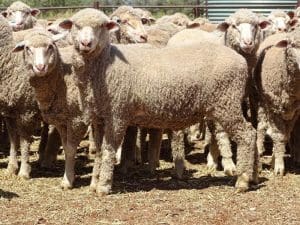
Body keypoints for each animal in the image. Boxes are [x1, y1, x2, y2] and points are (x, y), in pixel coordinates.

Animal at [59, 8, 256, 195]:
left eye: (101, 26)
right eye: (76, 25)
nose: (86, 43)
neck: (105, 64)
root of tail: (240, 60)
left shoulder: (117, 115)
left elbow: (108, 151)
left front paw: (103, 186)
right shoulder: (99, 118)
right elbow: (99, 152)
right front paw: (94, 184)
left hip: (227, 103)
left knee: (246, 135)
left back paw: (243, 180)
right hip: (225, 104)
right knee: (251, 132)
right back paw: (253, 175)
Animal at [253, 29, 300, 176]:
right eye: (293, 45)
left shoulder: (295, 110)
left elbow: (285, 135)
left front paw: (275, 159)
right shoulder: (275, 108)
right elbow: (278, 136)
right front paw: (279, 167)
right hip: (262, 100)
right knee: (262, 125)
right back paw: (259, 149)